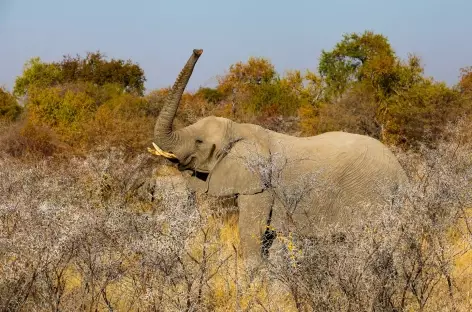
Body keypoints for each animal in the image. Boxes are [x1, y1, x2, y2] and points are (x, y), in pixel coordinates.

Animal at [149, 48, 408, 266]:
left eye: (199, 141)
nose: (199, 50)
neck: (240, 129)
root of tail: (400, 172)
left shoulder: (261, 186)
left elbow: (252, 235)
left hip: (370, 194)